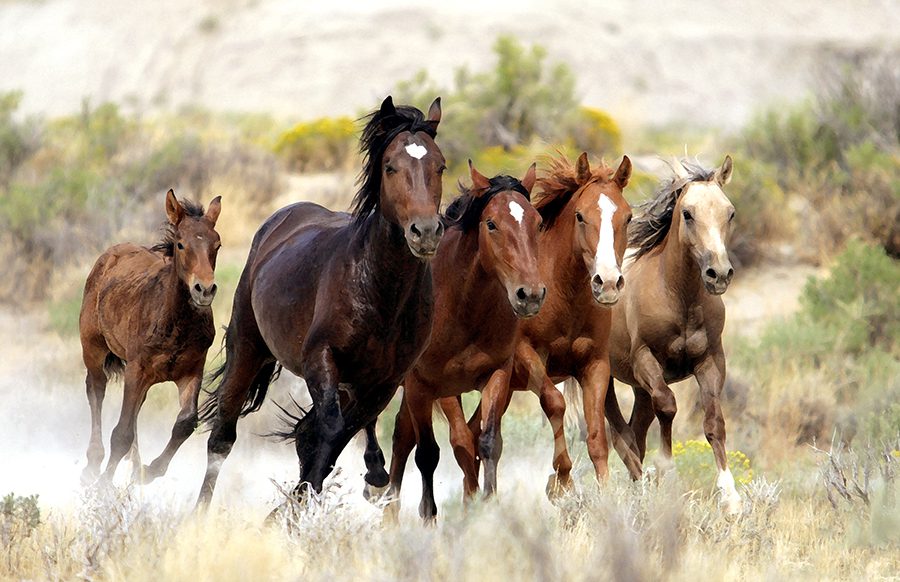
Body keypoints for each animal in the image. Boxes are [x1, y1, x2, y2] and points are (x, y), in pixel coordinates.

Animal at [80, 189, 222, 484]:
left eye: (217, 244)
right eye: (180, 244)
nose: (204, 290)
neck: (175, 324)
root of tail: (110, 254)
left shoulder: (192, 371)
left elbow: (186, 423)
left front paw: (147, 472)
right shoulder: (137, 369)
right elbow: (121, 433)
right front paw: (104, 486)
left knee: (134, 411)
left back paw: (134, 466)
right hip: (93, 347)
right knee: (96, 388)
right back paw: (93, 463)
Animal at [196, 96, 445, 506]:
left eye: (440, 165)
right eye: (390, 166)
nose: (425, 232)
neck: (380, 292)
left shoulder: (383, 383)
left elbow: (330, 439)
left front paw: (298, 504)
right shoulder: (321, 359)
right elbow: (328, 430)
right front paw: (293, 507)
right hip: (248, 348)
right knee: (222, 436)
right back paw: (200, 512)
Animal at [372, 162, 544, 522]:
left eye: (537, 222)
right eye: (491, 224)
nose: (531, 295)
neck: (463, 307)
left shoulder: (497, 375)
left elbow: (487, 442)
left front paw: (486, 507)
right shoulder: (430, 386)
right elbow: (440, 448)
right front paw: (431, 516)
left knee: (403, 436)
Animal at [445, 152, 633, 496]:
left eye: (627, 217)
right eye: (580, 216)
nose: (608, 283)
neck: (563, 293)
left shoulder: (595, 364)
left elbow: (597, 435)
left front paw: (605, 493)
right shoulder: (525, 356)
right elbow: (555, 403)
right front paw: (562, 479)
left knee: (475, 436)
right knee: (460, 438)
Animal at [600, 155, 742, 513]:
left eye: (730, 212)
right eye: (688, 213)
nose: (719, 274)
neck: (679, 298)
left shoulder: (711, 361)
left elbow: (714, 422)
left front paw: (731, 496)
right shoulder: (645, 361)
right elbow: (668, 406)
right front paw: (665, 470)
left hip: (638, 390)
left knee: (634, 433)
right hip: (602, 377)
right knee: (619, 436)